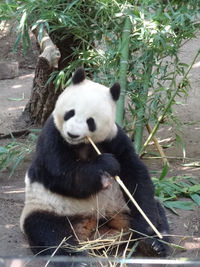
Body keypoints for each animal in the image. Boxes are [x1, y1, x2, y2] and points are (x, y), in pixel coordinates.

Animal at [20, 68, 170, 266]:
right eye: (70, 113)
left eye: (90, 121)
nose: (72, 133)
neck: (81, 144)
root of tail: (95, 225)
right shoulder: (52, 135)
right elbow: (62, 175)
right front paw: (106, 164)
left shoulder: (114, 137)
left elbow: (135, 175)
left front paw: (148, 230)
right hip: (48, 208)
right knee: (49, 233)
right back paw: (76, 259)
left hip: (121, 205)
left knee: (156, 208)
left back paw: (155, 245)